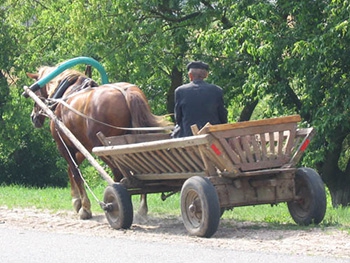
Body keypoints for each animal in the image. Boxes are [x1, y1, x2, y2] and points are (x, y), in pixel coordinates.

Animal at [26, 66, 172, 221]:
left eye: (36, 90)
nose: (33, 117)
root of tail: (126, 94)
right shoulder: (82, 147)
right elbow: (71, 170)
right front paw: (76, 201)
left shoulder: (64, 145)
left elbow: (76, 172)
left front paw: (84, 208)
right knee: (138, 170)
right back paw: (142, 208)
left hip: (103, 148)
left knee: (118, 173)